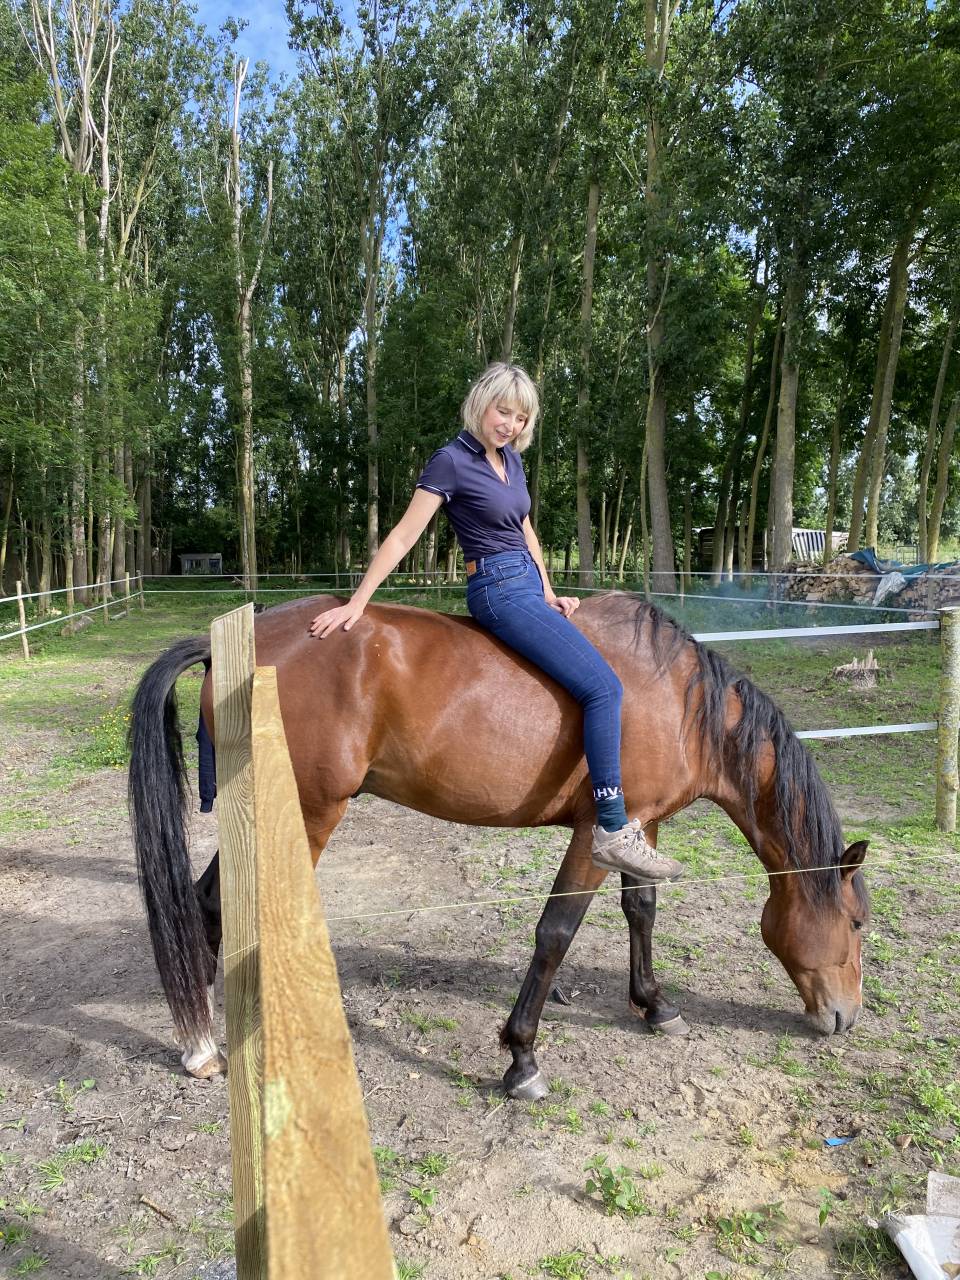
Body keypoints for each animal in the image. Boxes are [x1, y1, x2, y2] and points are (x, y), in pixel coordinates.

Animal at [128, 592, 869, 1100]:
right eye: (858, 923)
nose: (845, 1018)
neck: (677, 702)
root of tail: (233, 643)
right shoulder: (592, 838)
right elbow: (556, 933)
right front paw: (522, 1058)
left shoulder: (643, 829)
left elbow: (642, 911)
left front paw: (656, 1005)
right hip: (307, 815)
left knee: (206, 905)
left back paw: (206, 1040)